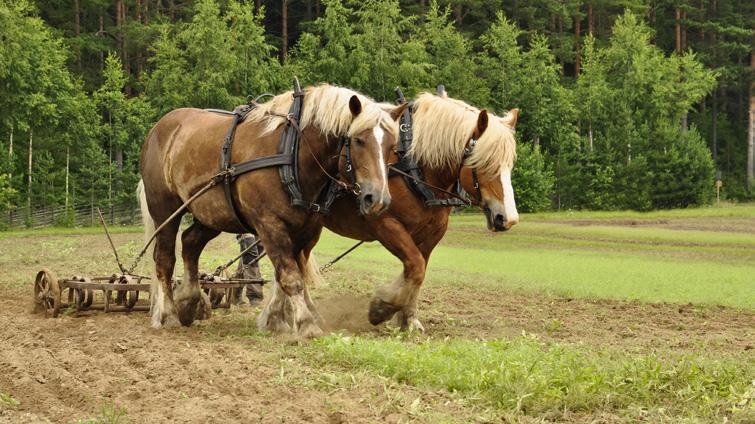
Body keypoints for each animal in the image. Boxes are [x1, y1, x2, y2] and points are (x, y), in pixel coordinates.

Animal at [138, 85, 404, 338]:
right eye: (358, 140)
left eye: (392, 146)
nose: (377, 198)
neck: (292, 151)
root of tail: (159, 128)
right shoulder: (269, 224)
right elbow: (291, 277)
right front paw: (306, 324)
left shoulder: (305, 228)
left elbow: (285, 274)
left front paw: (276, 319)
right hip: (165, 209)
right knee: (165, 259)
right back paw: (169, 314)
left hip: (212, 213)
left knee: (190, 243)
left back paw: (190, 302)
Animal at [302, 93, 520, 332]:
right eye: (485, 163)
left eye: (510, 164)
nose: (508, 219)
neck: (415, 169)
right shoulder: (386, 225)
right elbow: (415, 267)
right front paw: (382, 307)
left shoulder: (432, 233)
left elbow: (418, 272)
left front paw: (409, 319)